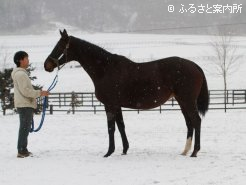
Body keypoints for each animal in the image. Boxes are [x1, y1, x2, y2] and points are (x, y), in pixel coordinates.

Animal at [44, 29, 209, 158]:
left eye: (60, 46)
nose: (47, 65)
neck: (105, 69)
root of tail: (195, 66)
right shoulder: (117, 105)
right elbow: (121, 126)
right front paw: (124, 150)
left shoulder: (110, 105)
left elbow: (111, 128)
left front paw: (109, 152)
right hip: (182, 101)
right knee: (189, 123)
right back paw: (185, 151)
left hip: (187, 101)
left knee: (196, 121)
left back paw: (194, 152)